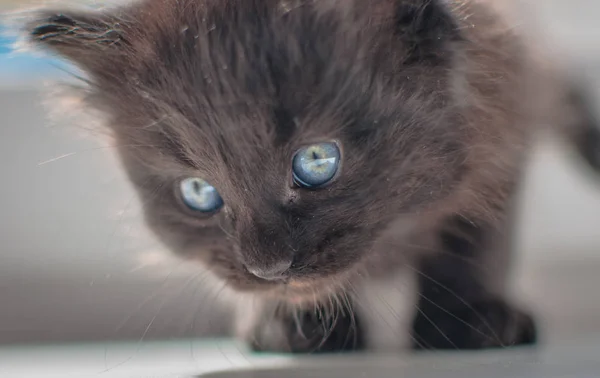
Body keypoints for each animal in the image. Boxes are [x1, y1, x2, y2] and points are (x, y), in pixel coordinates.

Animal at [21, 0, 596, 354]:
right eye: (199, 193)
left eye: (317, 161)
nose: (268, 266)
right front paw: (291, 326)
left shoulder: (504, 132)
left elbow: (472, 243)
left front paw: (468, 319)